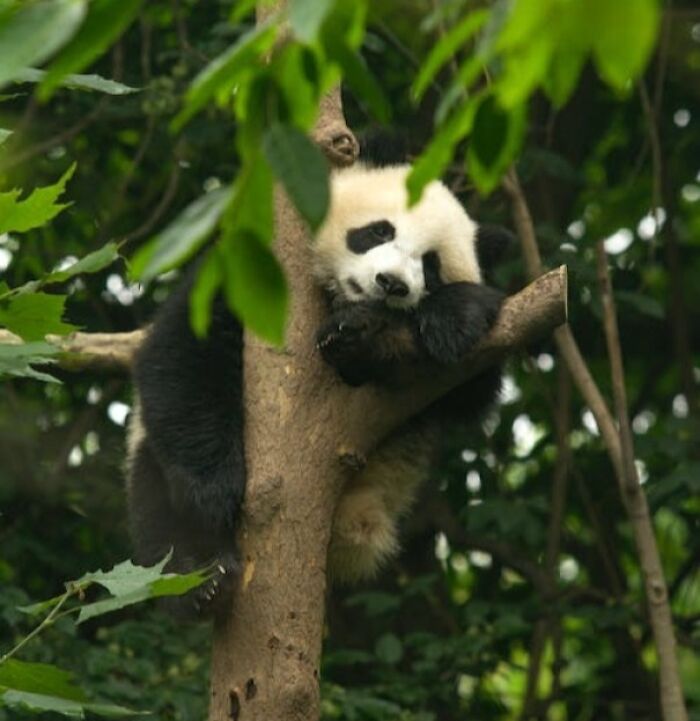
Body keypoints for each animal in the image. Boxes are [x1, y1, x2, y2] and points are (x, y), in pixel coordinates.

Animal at [125, 134, 510, 616]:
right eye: (379, 231)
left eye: (431, 265)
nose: (391, 283)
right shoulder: (244, 280)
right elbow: (184, 355)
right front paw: (216, 490)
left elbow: (472, 386)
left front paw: (441, 319)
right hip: (150, 462)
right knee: (156, 511)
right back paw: (202, 580)